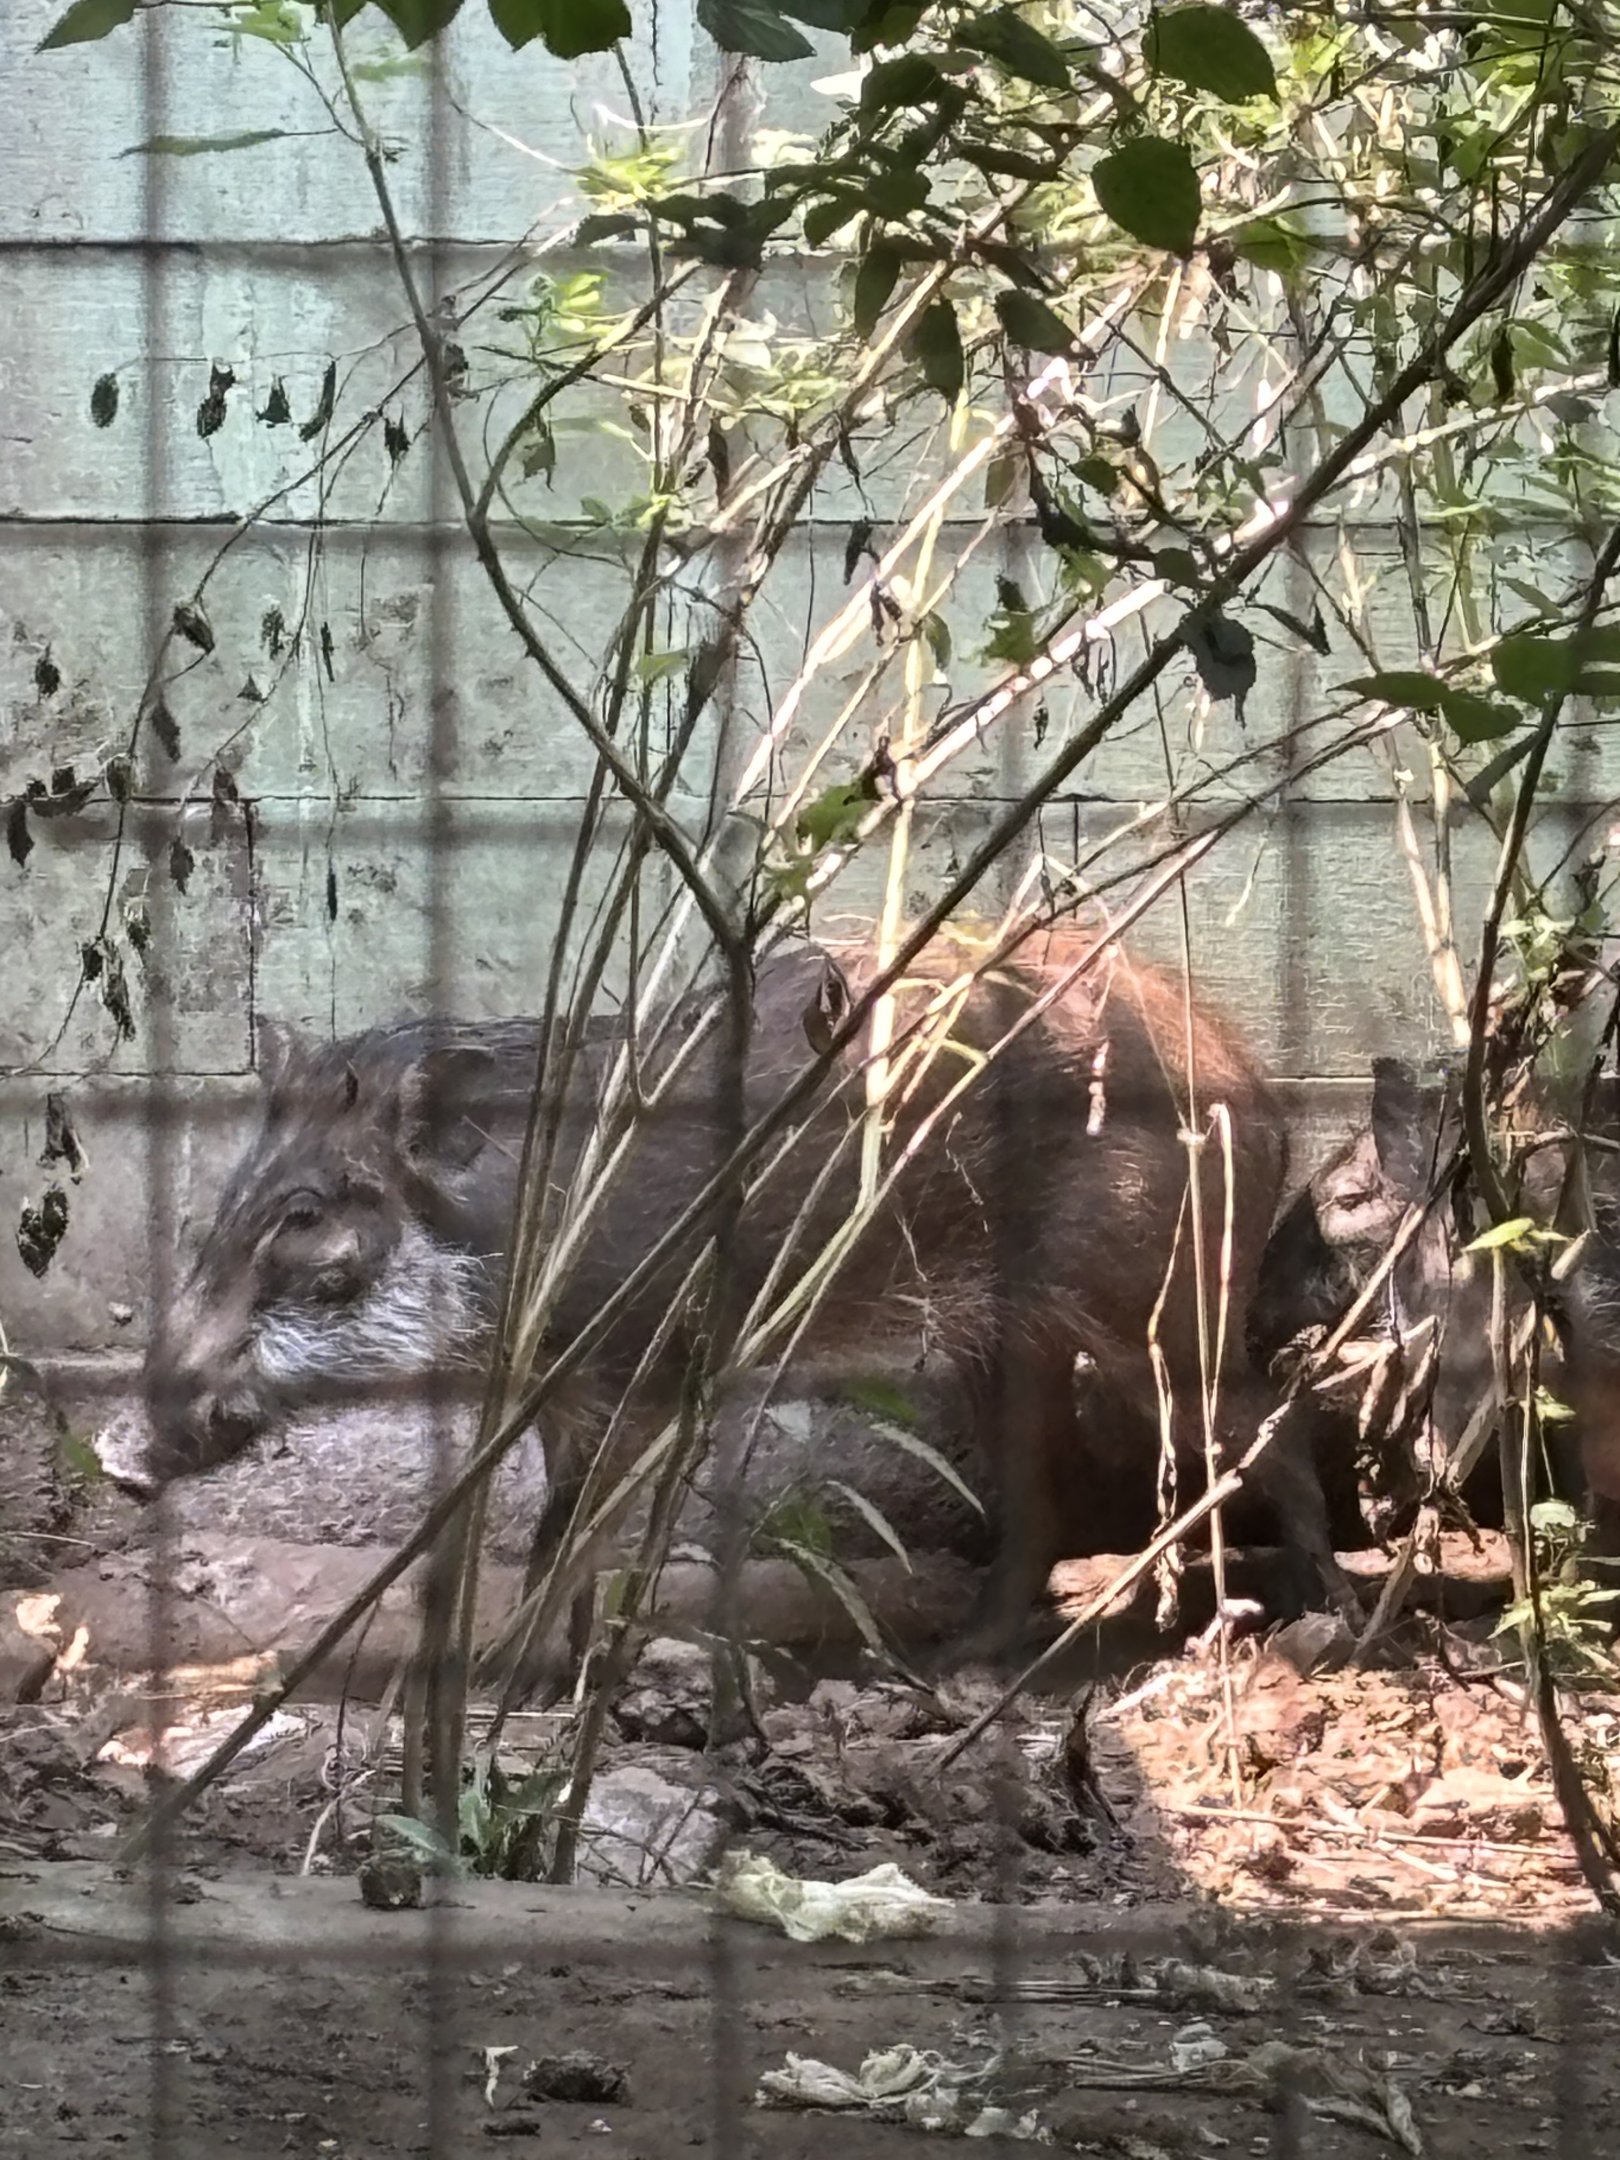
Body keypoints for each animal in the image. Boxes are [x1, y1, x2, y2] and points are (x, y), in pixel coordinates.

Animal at [139, 925, 1329, 1664]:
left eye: (308, 1218)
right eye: (235, 1192)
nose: (123, 1447)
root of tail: (1258, 1092)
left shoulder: (637, 1382)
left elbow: (568, 1540)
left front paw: (505, 1678)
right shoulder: (561, 1399)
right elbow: (563, 1541)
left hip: (1156, 1308)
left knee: (1271, 1422)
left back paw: (1330, 1629)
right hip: (1011, 1339)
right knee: (1045, 1500)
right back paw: (953, 1666)